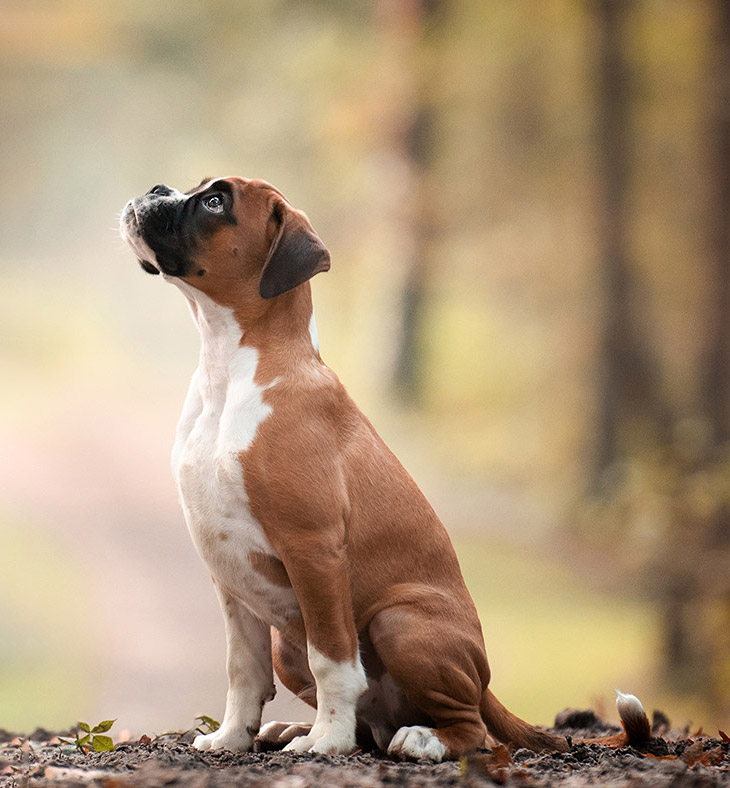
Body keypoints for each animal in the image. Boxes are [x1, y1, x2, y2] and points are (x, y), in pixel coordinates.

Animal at [119, 177, 648, 756]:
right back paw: (298, 729)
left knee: (473, 731)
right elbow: (244, 670)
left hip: (399, 620)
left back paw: (418, 740)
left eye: (216, 202)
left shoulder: (315, 552)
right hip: (288, 643)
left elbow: (333, 660)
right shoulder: (229, 576)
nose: (155, 189)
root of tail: (484, 683)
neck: (229, 370)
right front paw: (233, 737)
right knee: (371, 722)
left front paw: (327, 742)